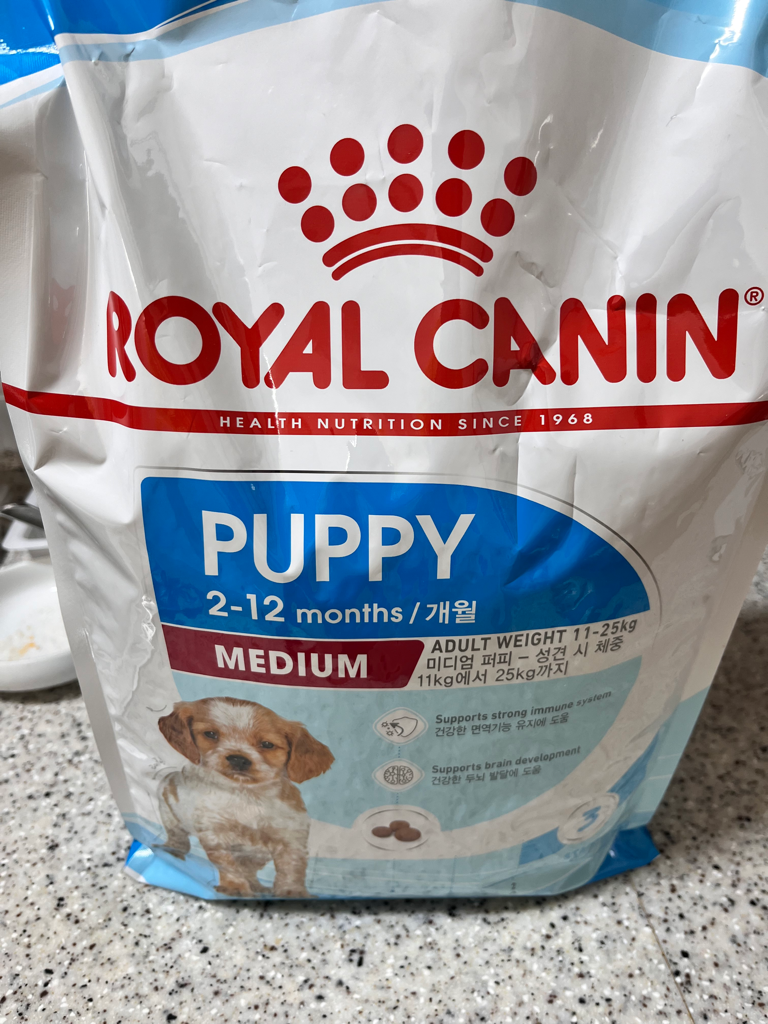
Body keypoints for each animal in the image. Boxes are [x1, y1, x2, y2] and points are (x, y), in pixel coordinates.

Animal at [157, 696, 334, 898]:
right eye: (210, 734)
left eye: (267, 744)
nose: (238, 758)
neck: (245, 794)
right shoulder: (215, 835)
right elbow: (228, 866)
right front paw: (236, 887)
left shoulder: (290, 838)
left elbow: (292, 870)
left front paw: (292, 893)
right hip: (169, 811)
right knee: (178, 838)